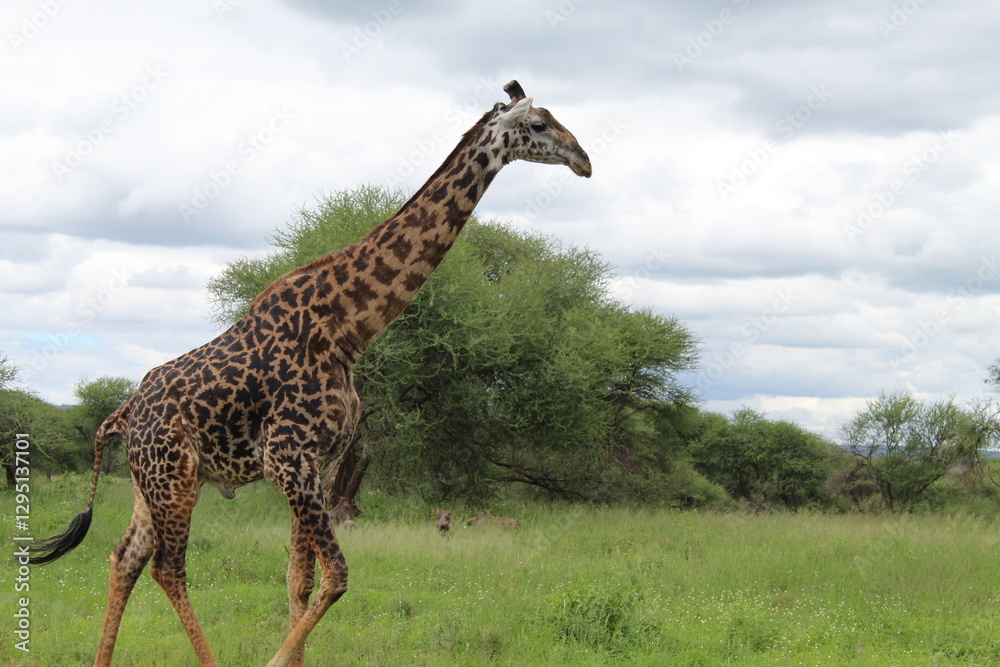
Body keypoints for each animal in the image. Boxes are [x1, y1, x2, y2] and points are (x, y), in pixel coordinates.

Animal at [28, 80, 591, 667]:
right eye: (540, 125)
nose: (585, 160)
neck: (349, 329)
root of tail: (120, 415)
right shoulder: (286, 457)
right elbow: (337, 576)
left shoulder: (317, 463)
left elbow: (299, 579)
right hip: (173, 480)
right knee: (168, 566)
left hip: (157, 480)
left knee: (125, 557)